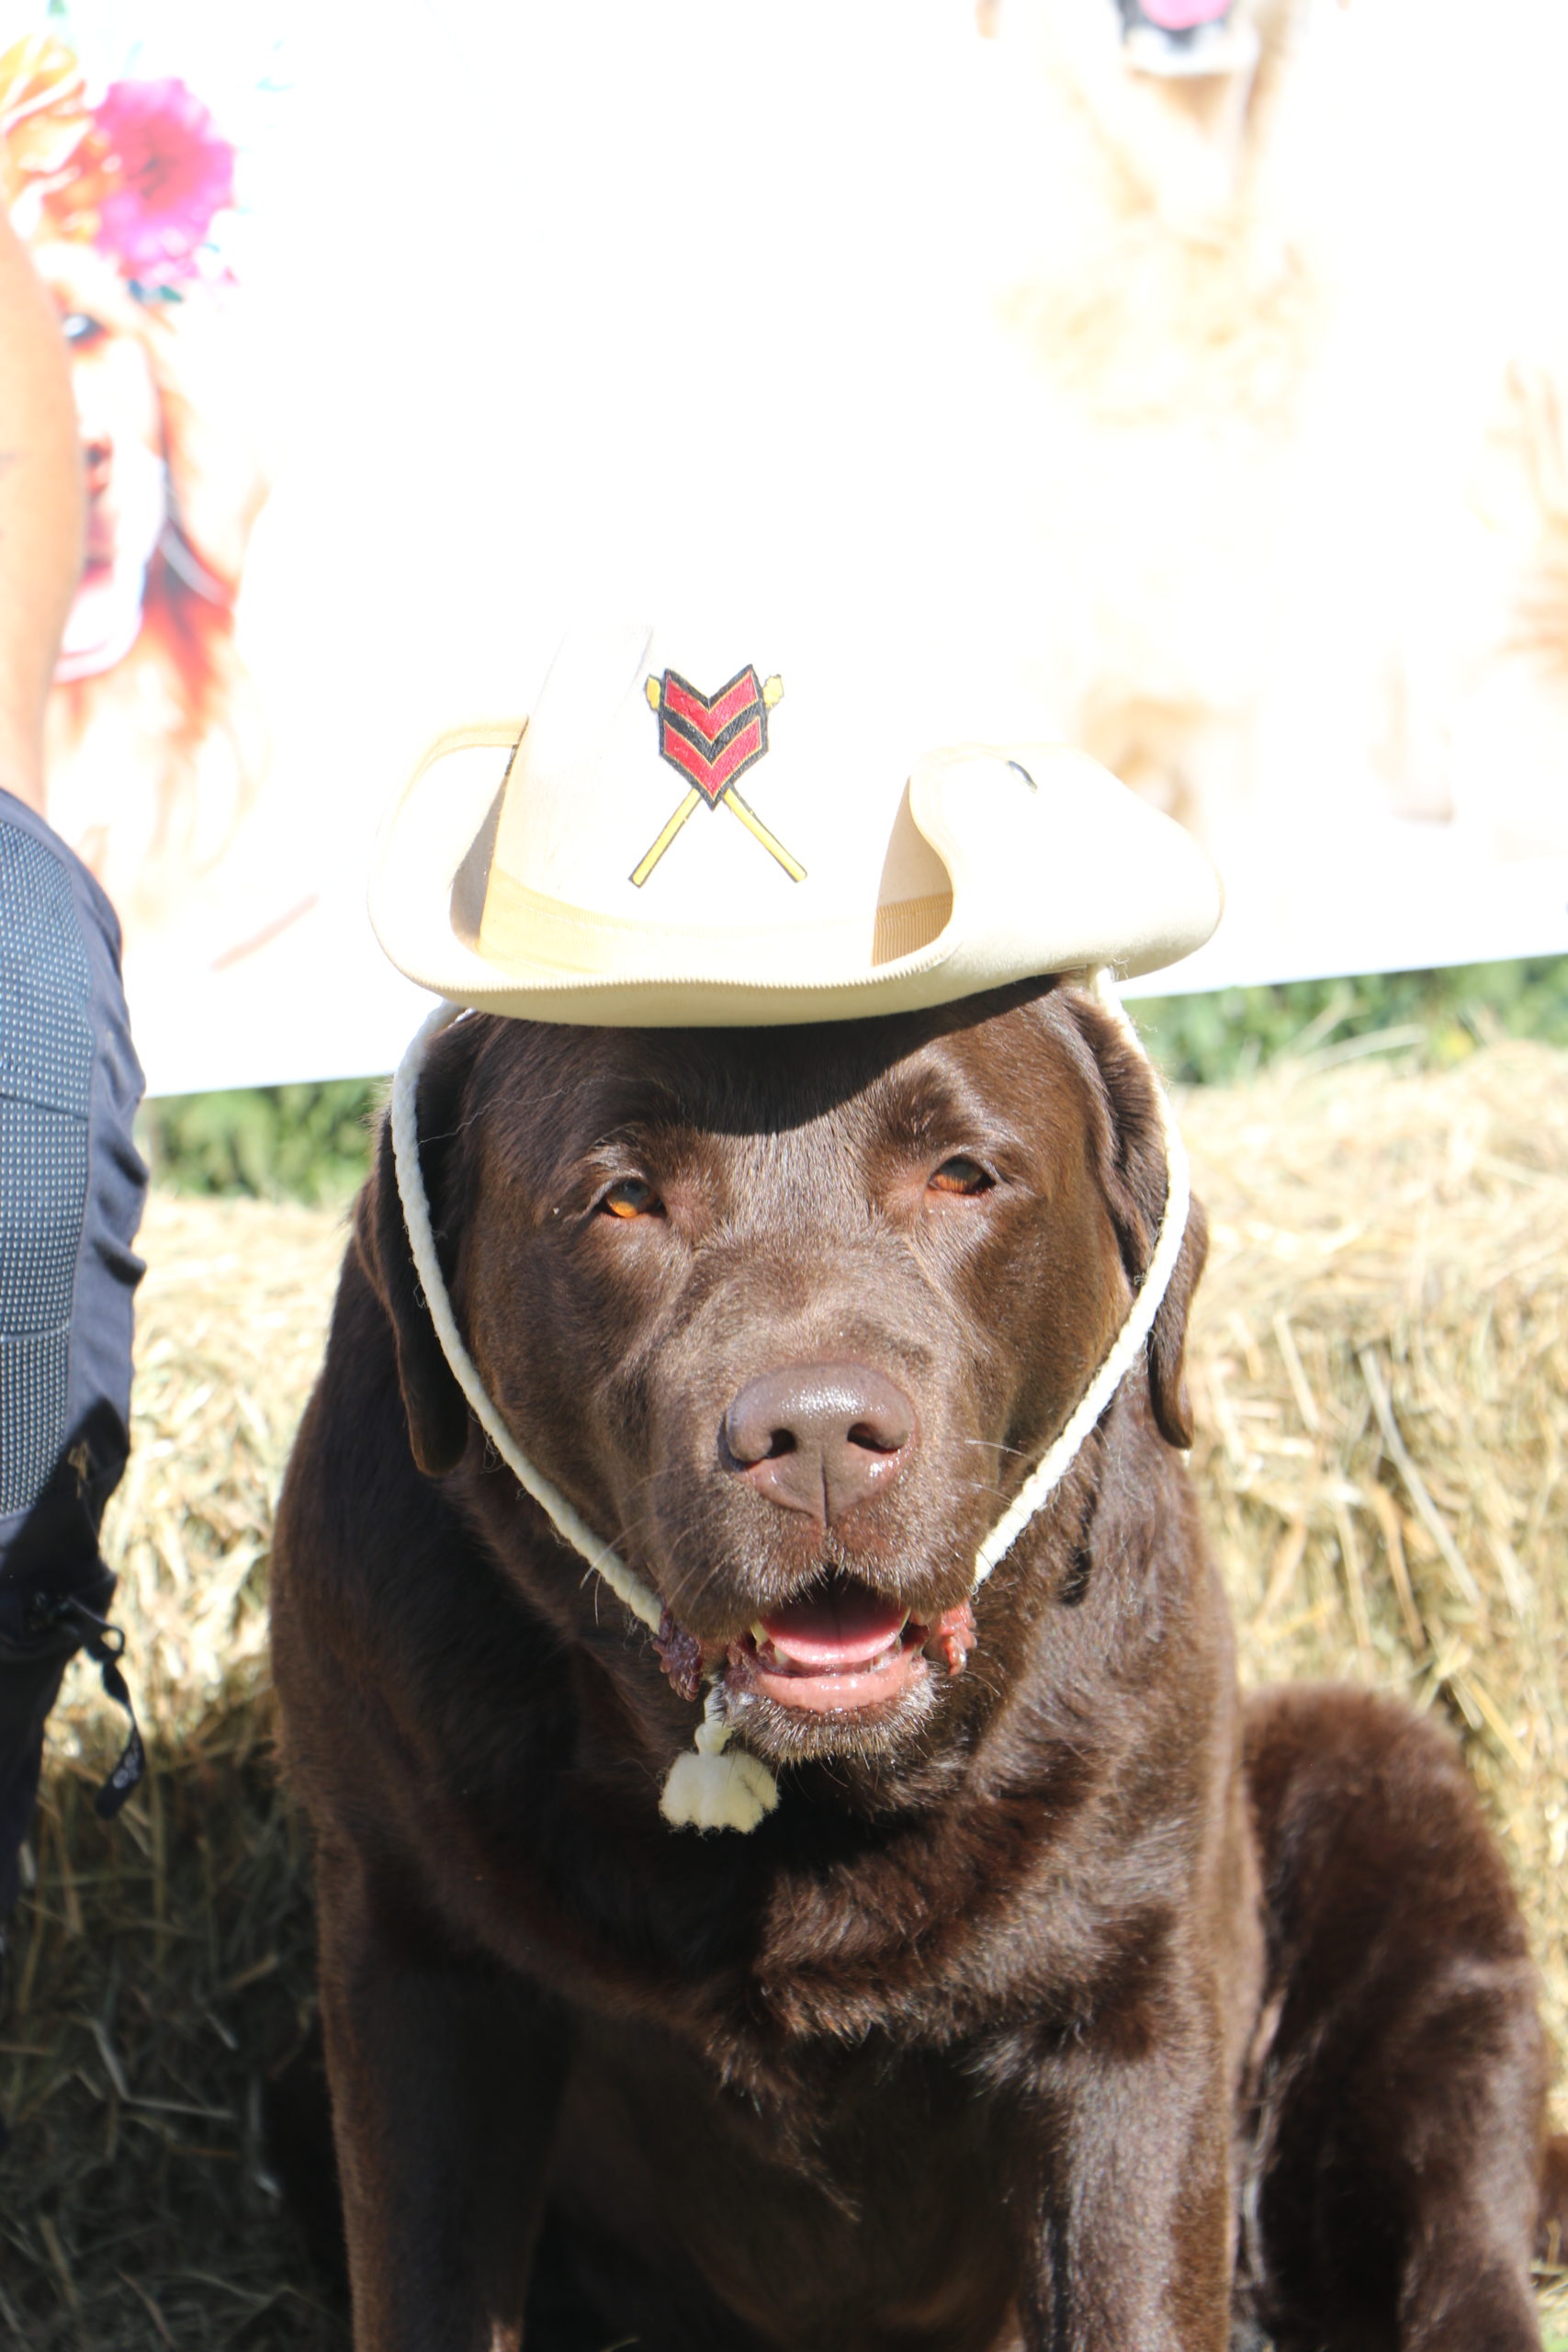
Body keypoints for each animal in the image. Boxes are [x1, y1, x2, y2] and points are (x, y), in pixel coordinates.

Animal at [271, 977, 1565, 2349]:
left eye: (961, 1175)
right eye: (621, 1197)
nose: (817, 1433)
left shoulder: (1127, 2006)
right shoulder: (418, 1961)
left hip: (1390, 1818)